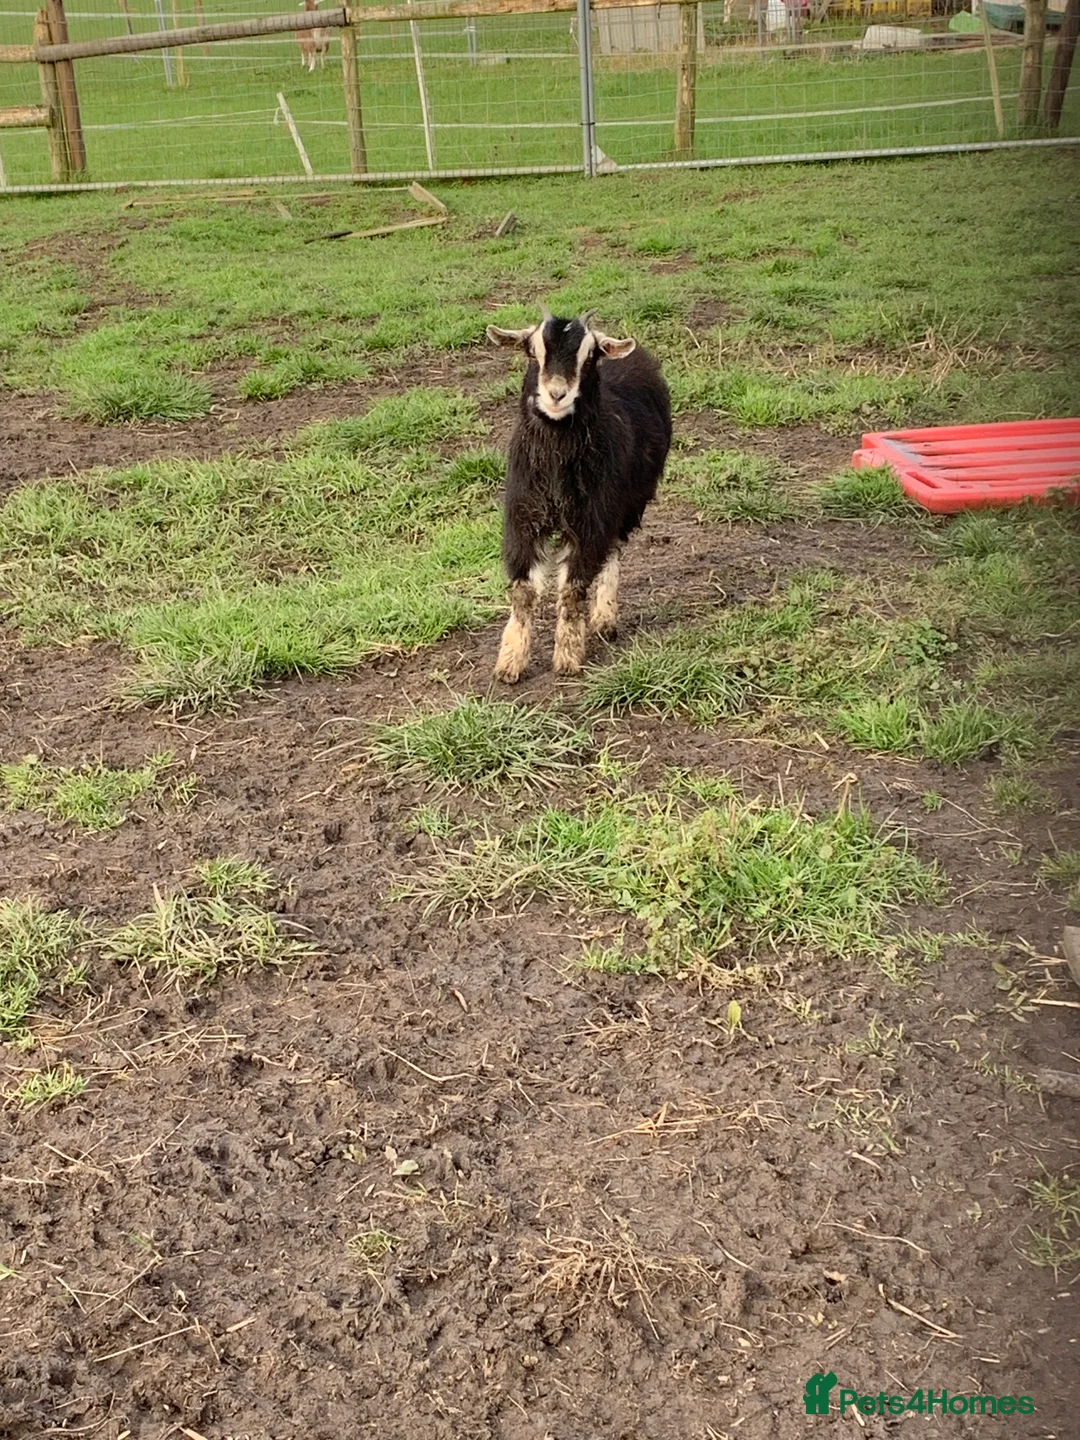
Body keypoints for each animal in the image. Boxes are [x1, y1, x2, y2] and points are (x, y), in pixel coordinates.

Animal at [486, 308, 671, 682]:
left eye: (589, 356)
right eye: (533, 353)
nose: (557, 394)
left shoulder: (591, 520)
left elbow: (573, 589)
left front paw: (568, 656)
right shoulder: (522, 518)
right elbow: (523, 591)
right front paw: (509, 662)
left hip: (627, 505)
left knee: (612, 551)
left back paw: (603, 618)